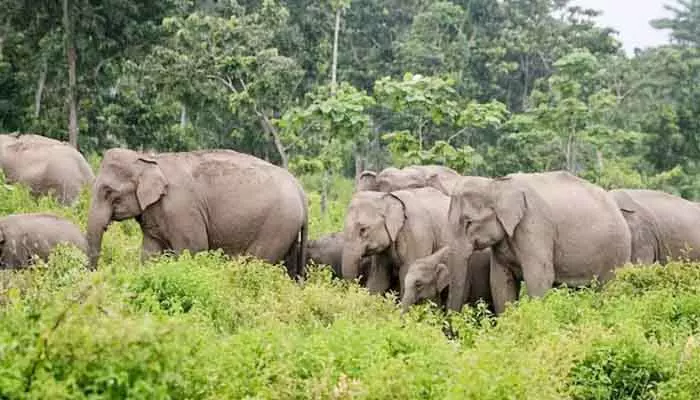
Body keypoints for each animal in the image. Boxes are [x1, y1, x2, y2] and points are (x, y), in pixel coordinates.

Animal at [85, 148, 308, 278]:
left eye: (108, 192)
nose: (94, 275)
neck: (151, 159)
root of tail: (300, 190)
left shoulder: (182, 209)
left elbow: (193, 248)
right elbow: (150, 253)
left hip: (277, 225)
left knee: (257, 264)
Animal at [446, 170, 632, 314]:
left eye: (468, 222)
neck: (496, 184)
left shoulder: (534, 225)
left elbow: (540, 277)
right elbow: (500, 281)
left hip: (617, 250)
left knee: (608, 287)